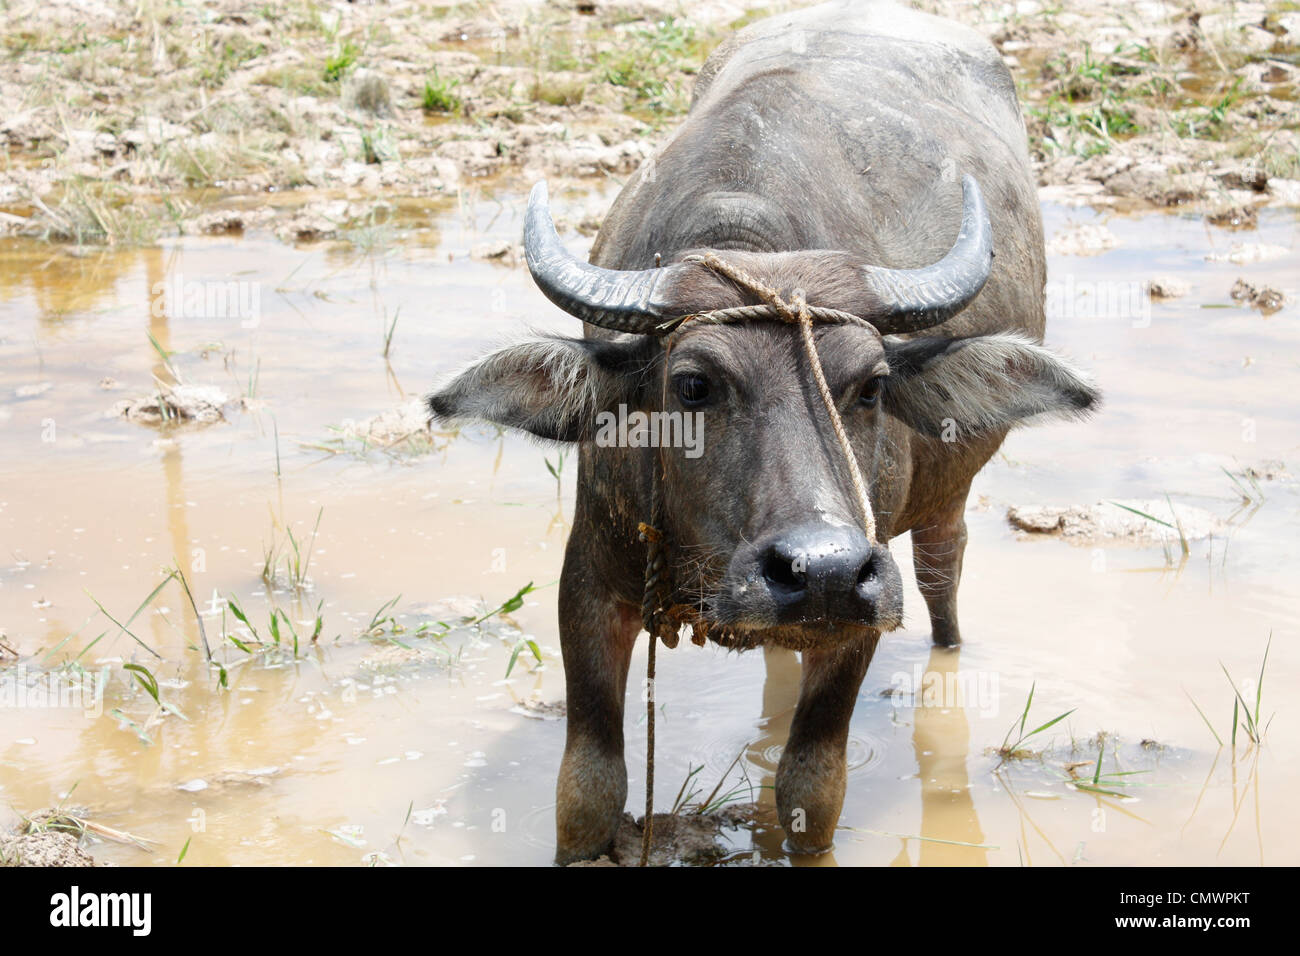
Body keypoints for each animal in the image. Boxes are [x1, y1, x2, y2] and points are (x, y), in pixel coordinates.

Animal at [428, 0, 1097, 863]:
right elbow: (586, 789)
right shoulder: (591, 579)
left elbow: (812, 787)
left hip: (940, 514)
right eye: (693, 385)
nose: (823, 569)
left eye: (872, 387)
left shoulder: (858, 609)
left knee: (943, 579)